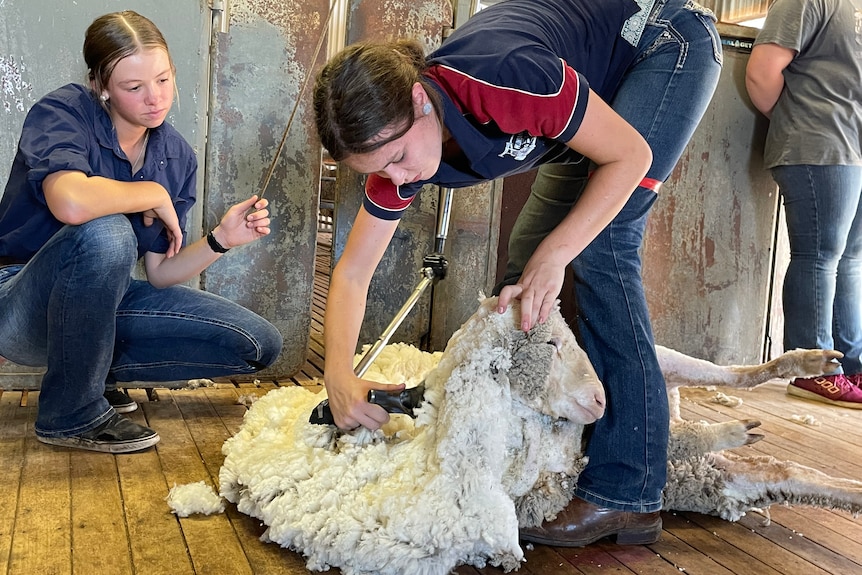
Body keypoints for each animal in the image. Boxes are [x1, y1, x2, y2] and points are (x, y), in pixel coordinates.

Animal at [219, 296, 862, 575]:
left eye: (563, 336)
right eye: (547, 343)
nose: (601, 399)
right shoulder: (563, 465)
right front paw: (728, 428)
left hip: (663, 365)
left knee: (727, 381)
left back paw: (806, 363)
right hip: (703, 475)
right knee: (782, 469)